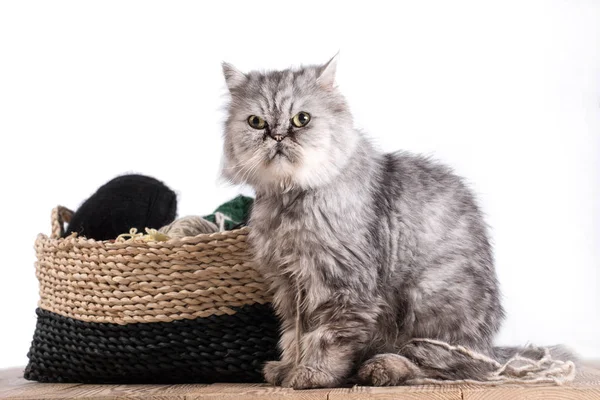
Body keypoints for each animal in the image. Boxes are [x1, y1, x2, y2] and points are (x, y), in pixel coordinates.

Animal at [219, 55, 564, 388]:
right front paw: (289, 368)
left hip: (429, 300)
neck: (288, 200)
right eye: (256, 122)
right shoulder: (289, 287)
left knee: (445, 367)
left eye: (301, 119)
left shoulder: (343, 286)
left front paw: (312, 374)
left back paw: (383, 368)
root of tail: (489, 348)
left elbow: (327, 338)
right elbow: (294, 337)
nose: (277, 136)